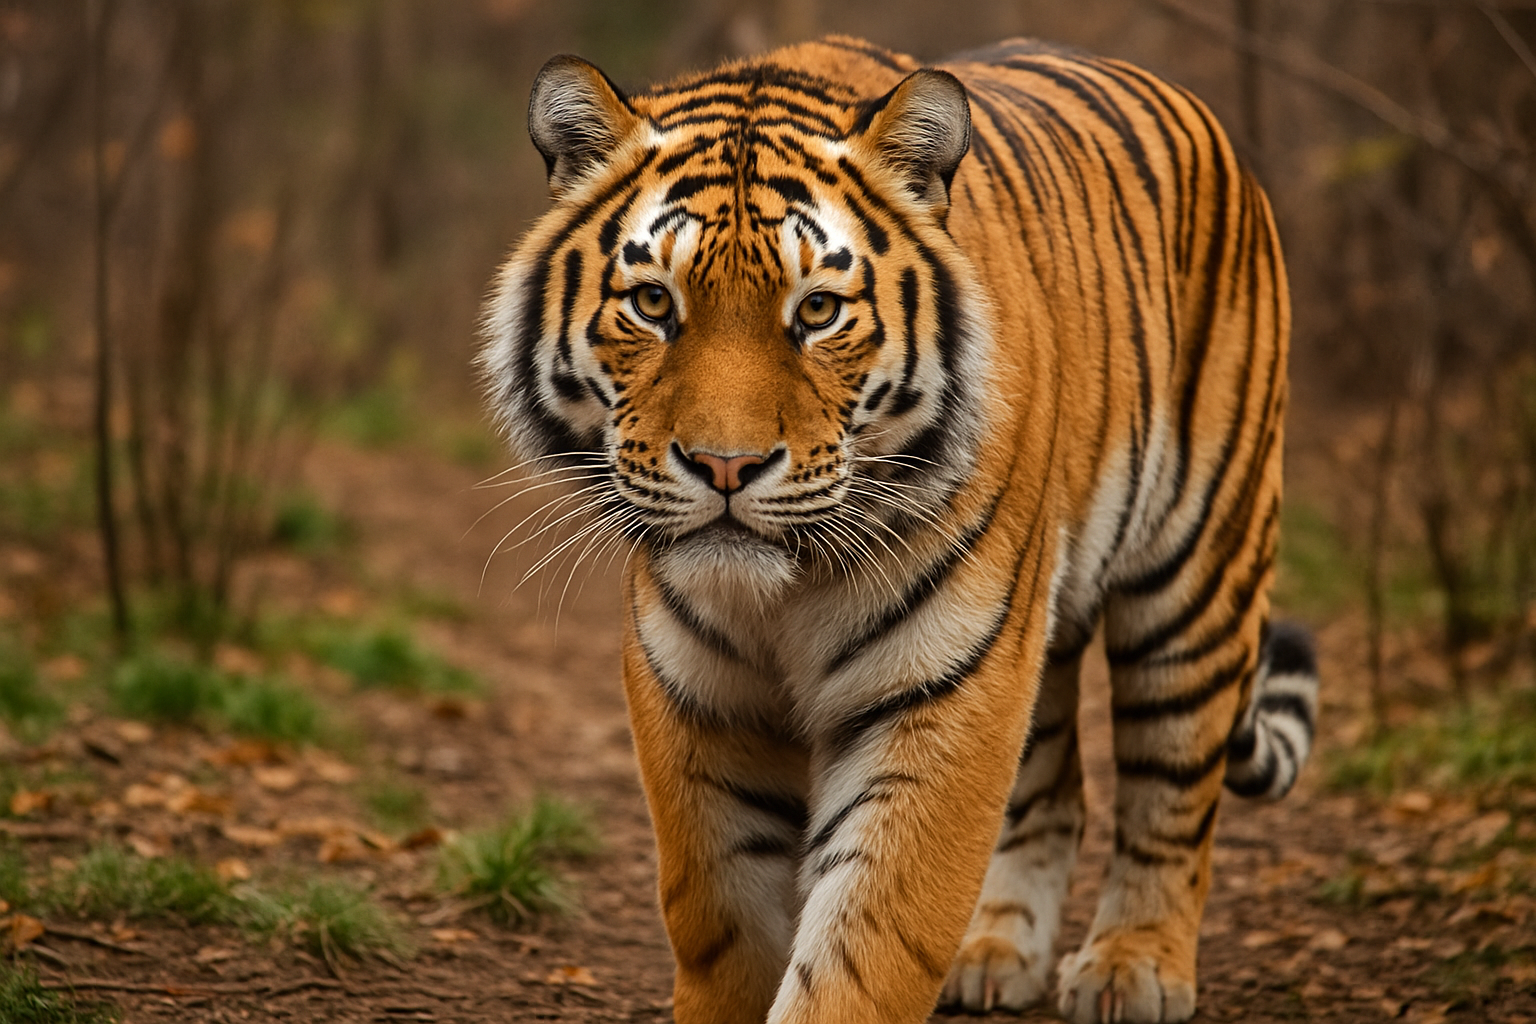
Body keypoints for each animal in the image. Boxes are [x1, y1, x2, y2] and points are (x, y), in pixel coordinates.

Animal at [479, 34, 1319, 1024]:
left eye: (817, 311)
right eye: (653, 304)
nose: (725, 466)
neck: (782, 592)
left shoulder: (944, 691)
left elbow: (868, 943)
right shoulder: (696, 695)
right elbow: (723, 923)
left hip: (1192, 584)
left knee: (1172, 788)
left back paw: (1131, 967)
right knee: (1056, 789)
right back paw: (996, 951)